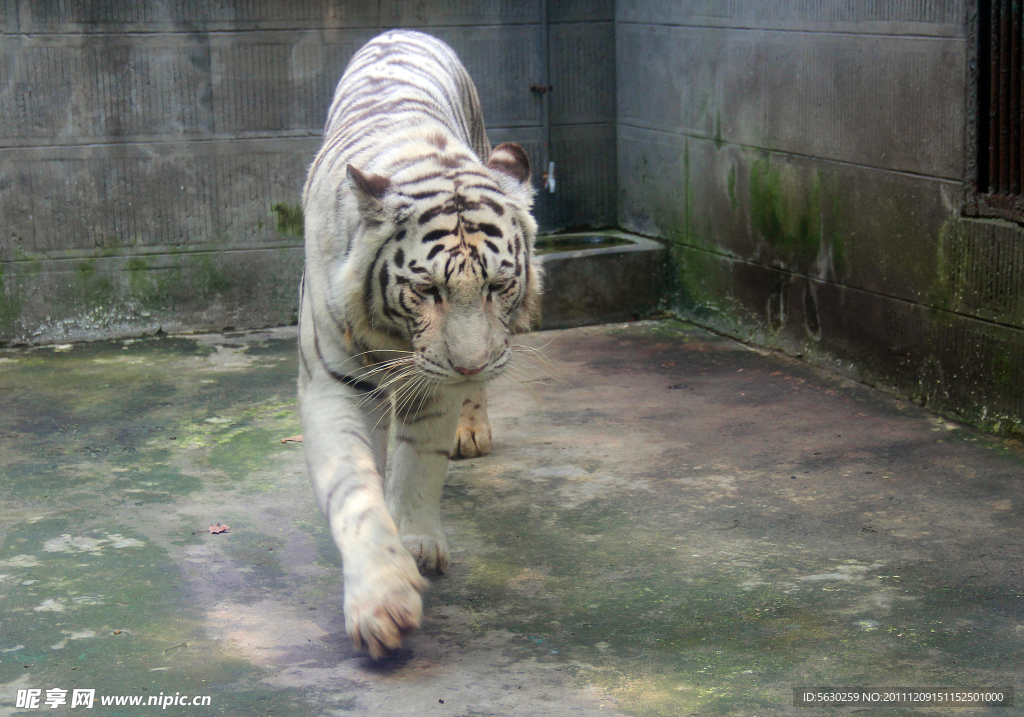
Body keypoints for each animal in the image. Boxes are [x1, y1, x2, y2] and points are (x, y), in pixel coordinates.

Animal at [299, 32, 544, 659]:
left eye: (498, 286)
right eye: (427, 289)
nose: (470, 363)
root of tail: (403, 32)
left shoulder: (436, 383)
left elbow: (418, 467)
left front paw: (416, 543)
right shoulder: (331, 383)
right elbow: (354, 491)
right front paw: (382, 601)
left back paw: (472, 431)